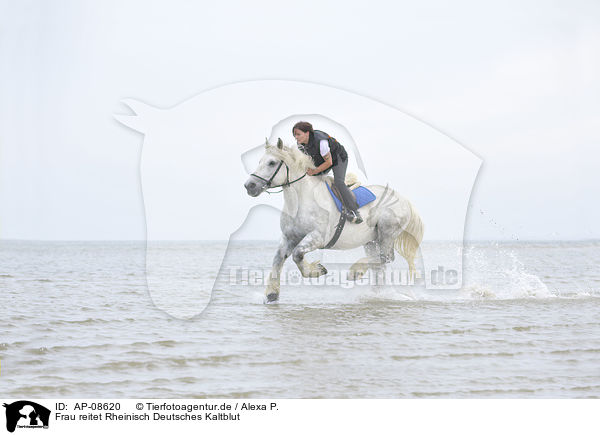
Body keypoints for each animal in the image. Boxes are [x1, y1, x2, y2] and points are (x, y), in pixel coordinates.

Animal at [243, 140, 422, 304]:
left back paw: (355, 272)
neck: (302, 199)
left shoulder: (318, 237)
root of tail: (404, 199)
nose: (249, 186)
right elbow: (278, 259)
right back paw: (376, 294)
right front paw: (271, 294)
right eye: (260, 161)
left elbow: (297, 254)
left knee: (385, 258)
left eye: (272, 163)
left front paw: (316, 270)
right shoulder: (289, 237)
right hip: (371, 240)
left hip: (387, 231)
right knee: (380, 264)